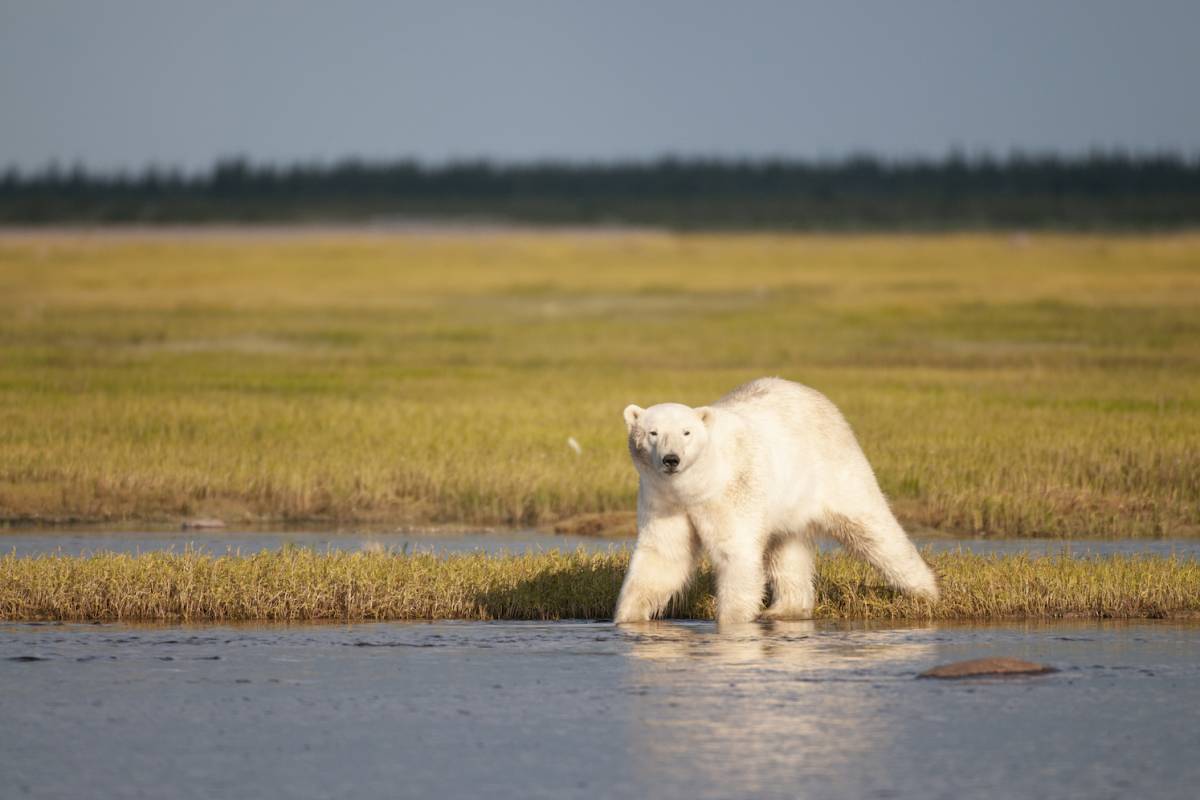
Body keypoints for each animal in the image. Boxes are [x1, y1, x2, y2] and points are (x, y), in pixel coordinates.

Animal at [614, 377, 939, 624]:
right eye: (653, 432)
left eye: (686, 432)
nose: (671, 459)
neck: (696, 486)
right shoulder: (664, 501)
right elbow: (662, 557)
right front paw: (628, 617)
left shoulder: (732, 493)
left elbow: (736, 554)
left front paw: (733, 622)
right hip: (789, 503)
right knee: (786, 549)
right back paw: (784, 609)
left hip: (835, 469)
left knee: (874, 530)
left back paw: (925, 592)